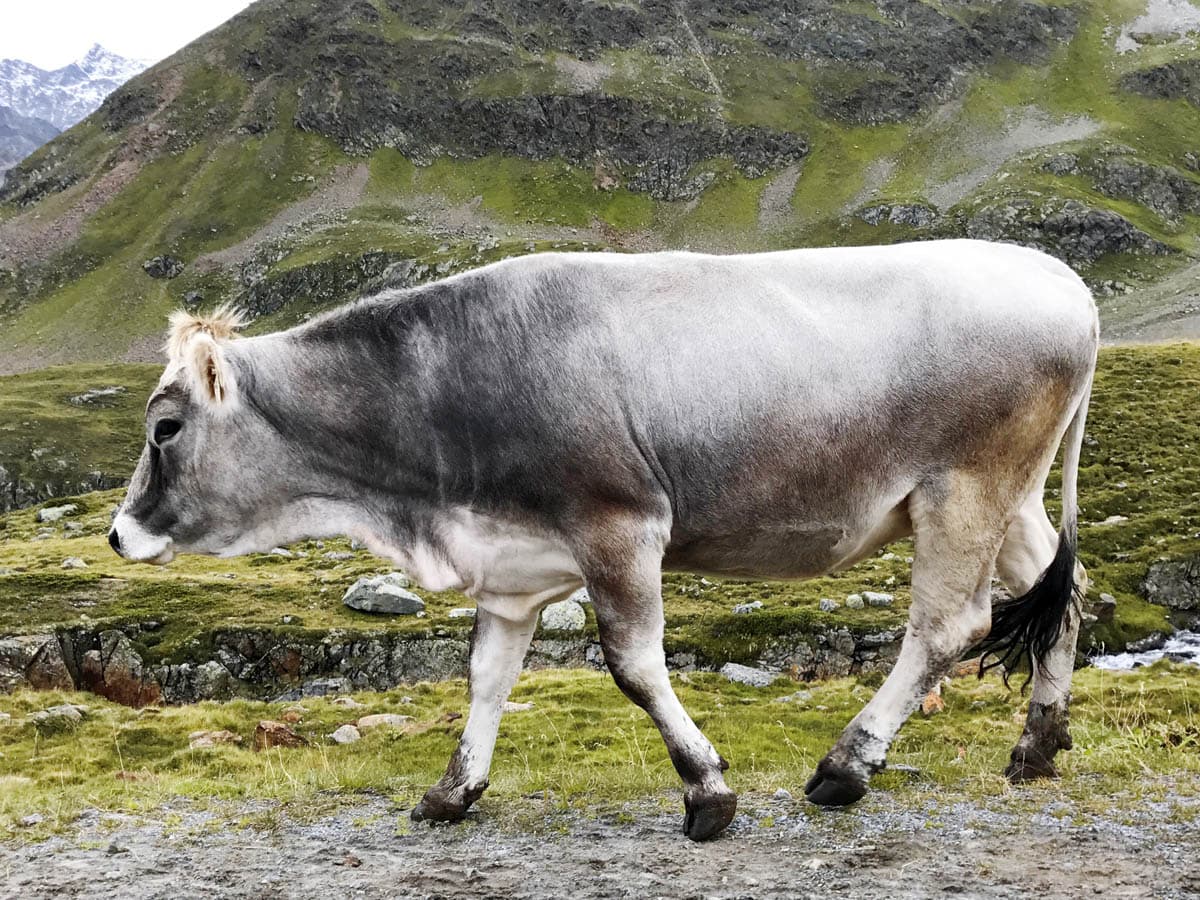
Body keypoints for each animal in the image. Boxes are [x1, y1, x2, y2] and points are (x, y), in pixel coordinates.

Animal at [110, 241, 1099, 844]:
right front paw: (452, 791)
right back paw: (1038, 745)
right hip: (1008, 501)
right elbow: (486, 678)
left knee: (948, 627)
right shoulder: (510, 564)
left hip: (961, 488)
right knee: (1063, 598)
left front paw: (707, 791)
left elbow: (632, 664)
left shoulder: (619, 525)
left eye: (165, 427)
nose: (119, 533)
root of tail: (1059, 279)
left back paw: (847, 765)